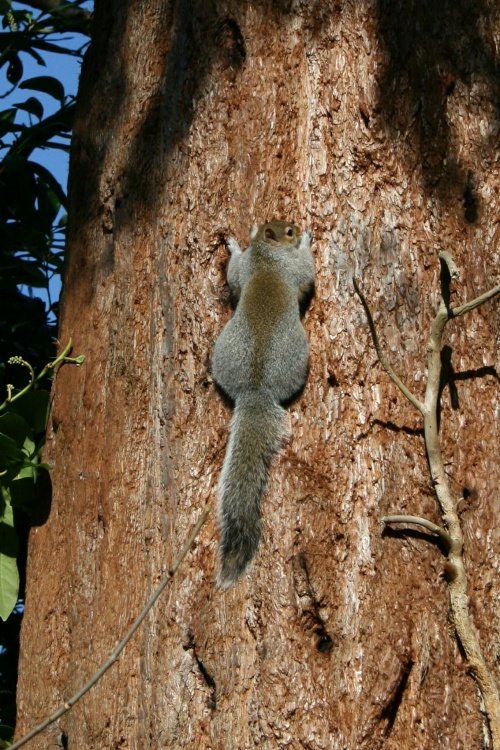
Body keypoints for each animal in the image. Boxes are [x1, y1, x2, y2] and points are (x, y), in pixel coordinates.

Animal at [212, 220, 314, 592]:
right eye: (288, 230)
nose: (297, 226)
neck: (266, 254)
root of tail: (254, 392)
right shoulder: (293, 267)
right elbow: (308, 269)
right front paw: (309, 240)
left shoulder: (245, 269)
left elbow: (233, 275)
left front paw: (232, 245)